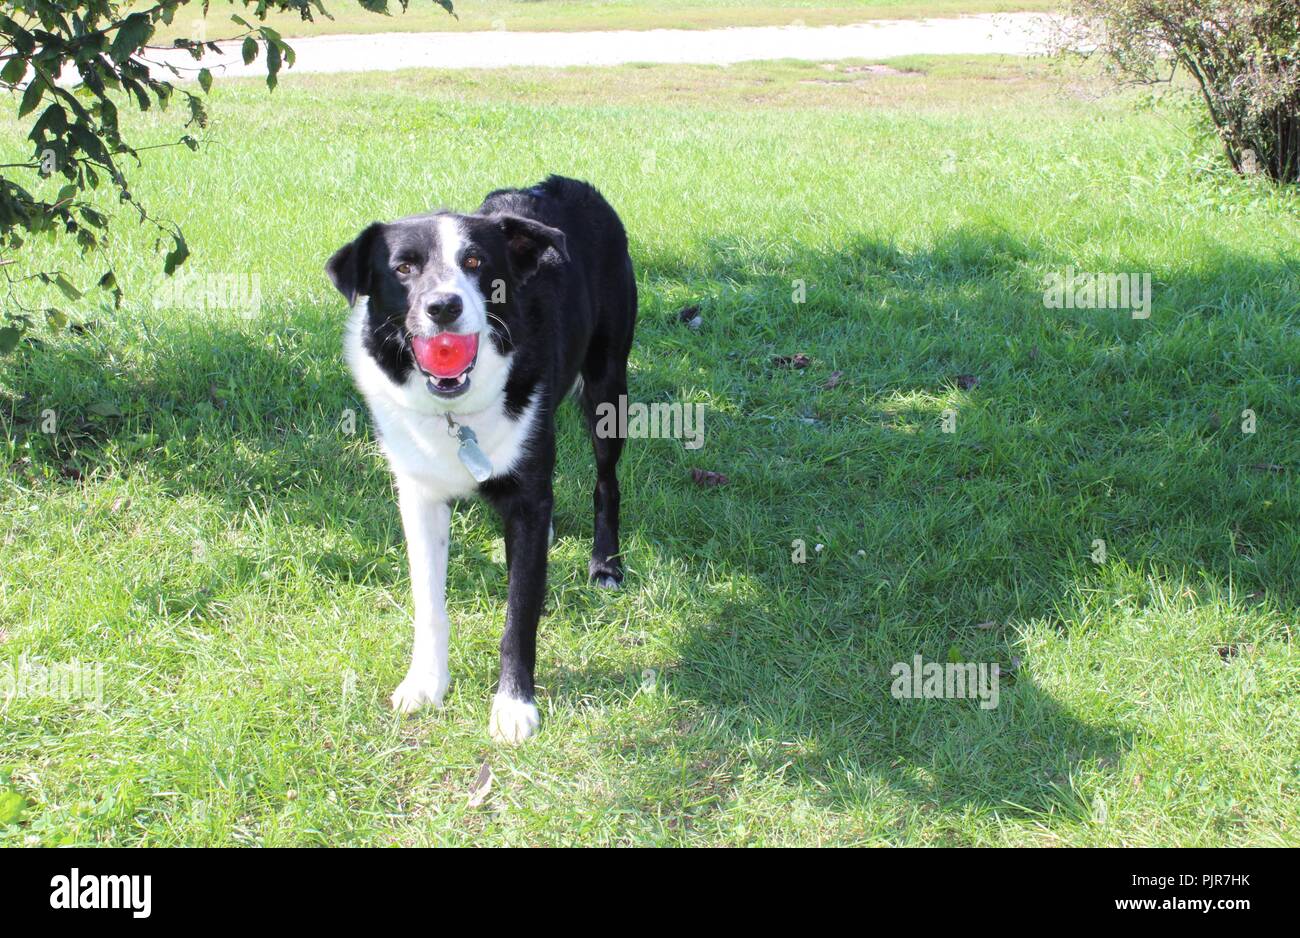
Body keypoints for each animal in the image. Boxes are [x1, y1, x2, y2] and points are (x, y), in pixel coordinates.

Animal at [322, 175, 631, 743]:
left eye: (474, 262)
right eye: (403, 267)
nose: (443, 307)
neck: (454, 412)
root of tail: (568, 184)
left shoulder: (527, 495)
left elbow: (519, 615)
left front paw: (513, 706)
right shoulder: (418, 497)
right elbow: (428, 600)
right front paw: (425, 683)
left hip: (608, 385)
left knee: (606, 480)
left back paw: (605, 564)